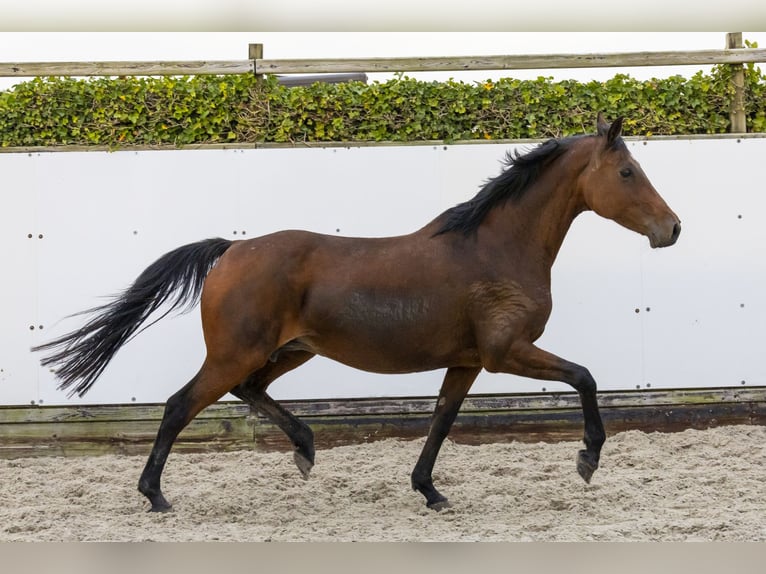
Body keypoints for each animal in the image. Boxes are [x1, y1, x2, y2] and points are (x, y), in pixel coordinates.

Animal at [30, 115, 680, 516]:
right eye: (628, 172)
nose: (671, 229)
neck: (496, 247)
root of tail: (231, 250)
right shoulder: (505, 353)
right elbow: (585, 377)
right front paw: (588, 459)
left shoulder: (468, 362)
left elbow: (442, 420)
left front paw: (429, 492)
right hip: (237, 352)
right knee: (179, 405)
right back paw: (155, 496)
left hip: (288, 351)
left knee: (249, 391)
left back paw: (304, 448)